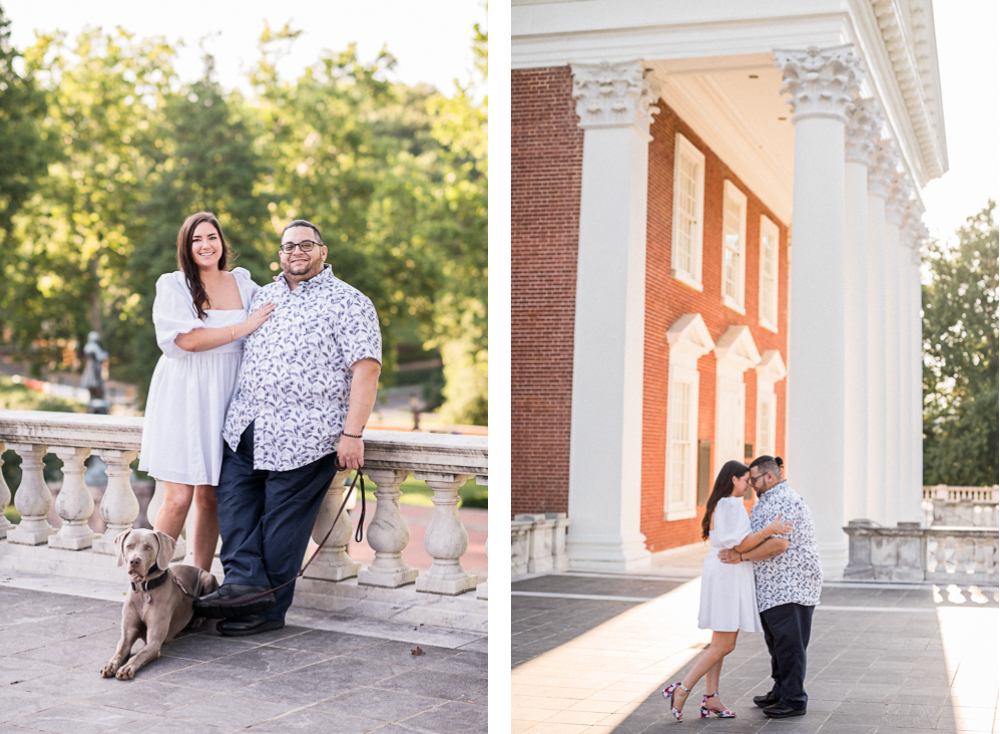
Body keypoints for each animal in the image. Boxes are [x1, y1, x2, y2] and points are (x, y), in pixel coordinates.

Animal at [99, 532, 219, 680]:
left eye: (148, 547)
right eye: (129, 546)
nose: (134, 561)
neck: (144, 588)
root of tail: (197, 568)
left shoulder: (154, 642)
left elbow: (139, 654)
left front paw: (127, 667)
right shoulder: (127, 634)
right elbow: (119, 651)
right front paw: (110, 664)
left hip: (208, 579)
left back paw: (196, 620)